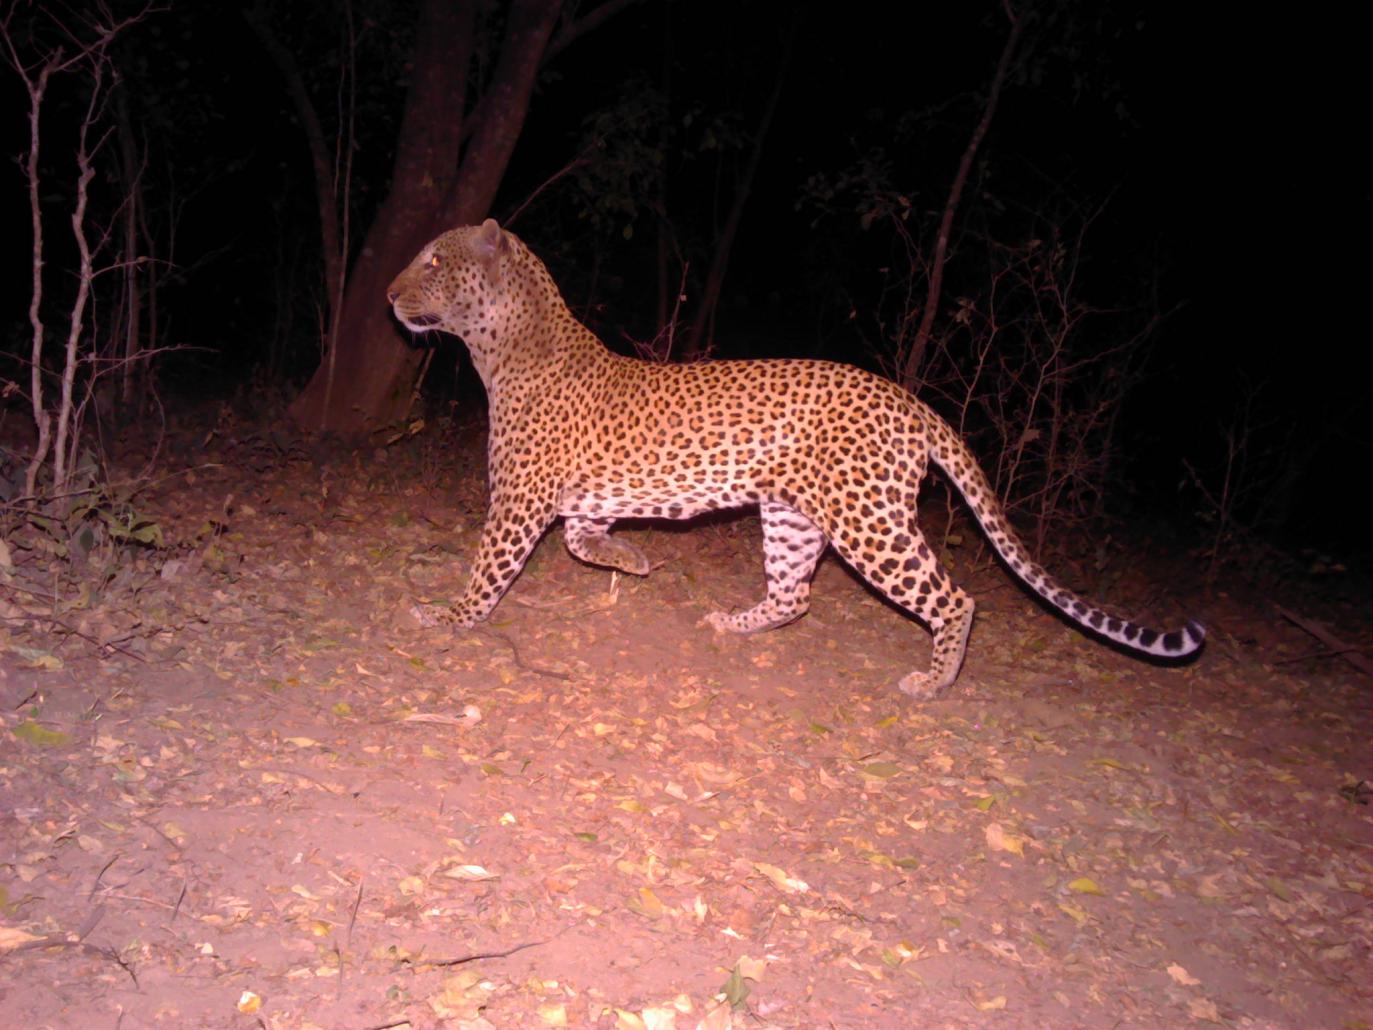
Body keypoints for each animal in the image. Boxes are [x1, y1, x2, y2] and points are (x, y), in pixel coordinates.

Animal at [387, 218, 1204, 698]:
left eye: (433, 260)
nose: (390, 296)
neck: (501, 346)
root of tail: (910, 402)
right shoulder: (580, 503)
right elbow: (585, 543)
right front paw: (637, 563)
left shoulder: (517, 501)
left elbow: (490, 567)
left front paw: (450, 616)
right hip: (791, 516)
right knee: (795, 595)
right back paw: (733, 623)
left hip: (868, 521)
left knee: (955, 598)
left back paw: (931, 683)